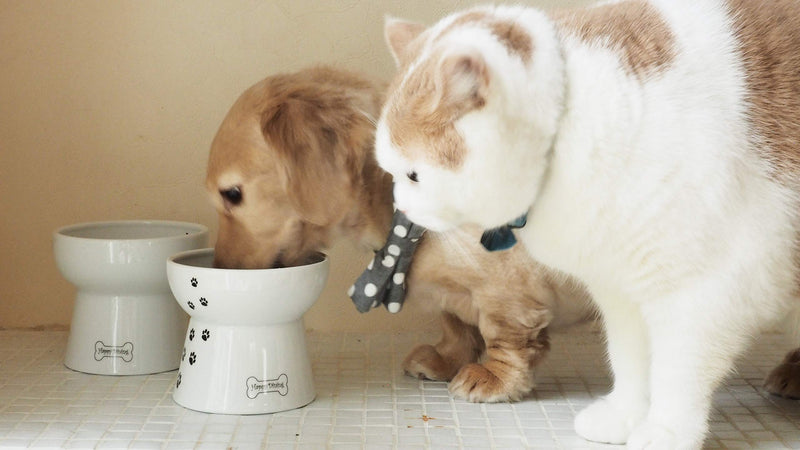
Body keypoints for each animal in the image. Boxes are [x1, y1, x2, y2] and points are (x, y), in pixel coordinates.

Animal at [206, 66, 592, 400]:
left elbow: (506, 335)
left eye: (232, 194)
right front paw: (446, 359)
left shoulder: (508, 289)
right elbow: (455, 323)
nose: (221, 267)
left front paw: (494, 377)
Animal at [376, 1, 800, 448]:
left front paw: (664, 431)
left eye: (413, 175)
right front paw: (624, 415)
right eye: (389, 172)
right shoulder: (621, 290)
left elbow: (676, 373)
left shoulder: (701, 295)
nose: (402, 208)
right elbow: (630, 360)